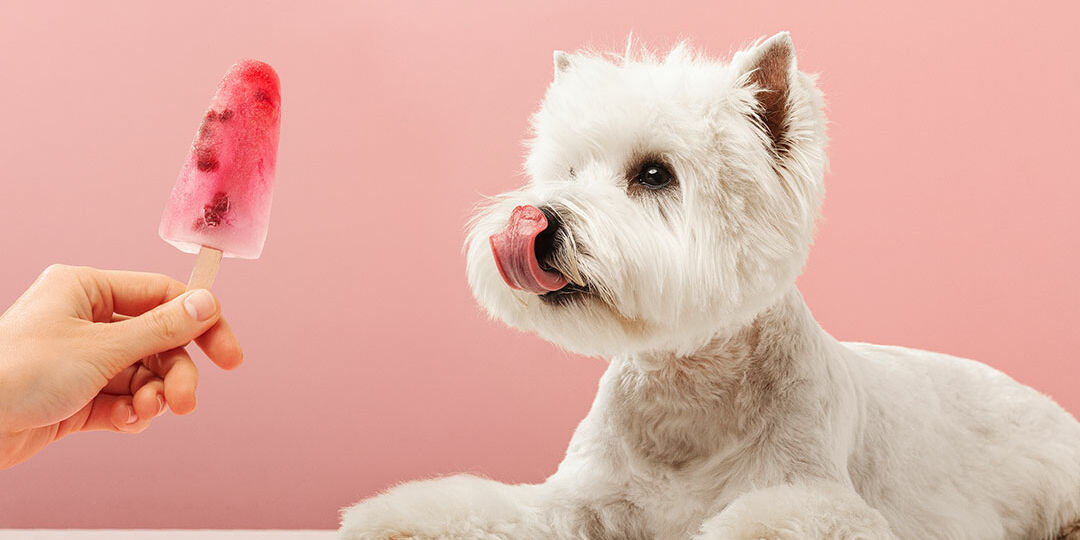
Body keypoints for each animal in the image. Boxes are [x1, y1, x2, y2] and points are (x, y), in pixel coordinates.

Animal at [339, 31, 1080, 537]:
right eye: (569, 169)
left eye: (654, 174)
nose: (537, 222)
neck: (686, 392)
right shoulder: (578, 500)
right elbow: (496, 507)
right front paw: (399, 520)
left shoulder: (814, 496)